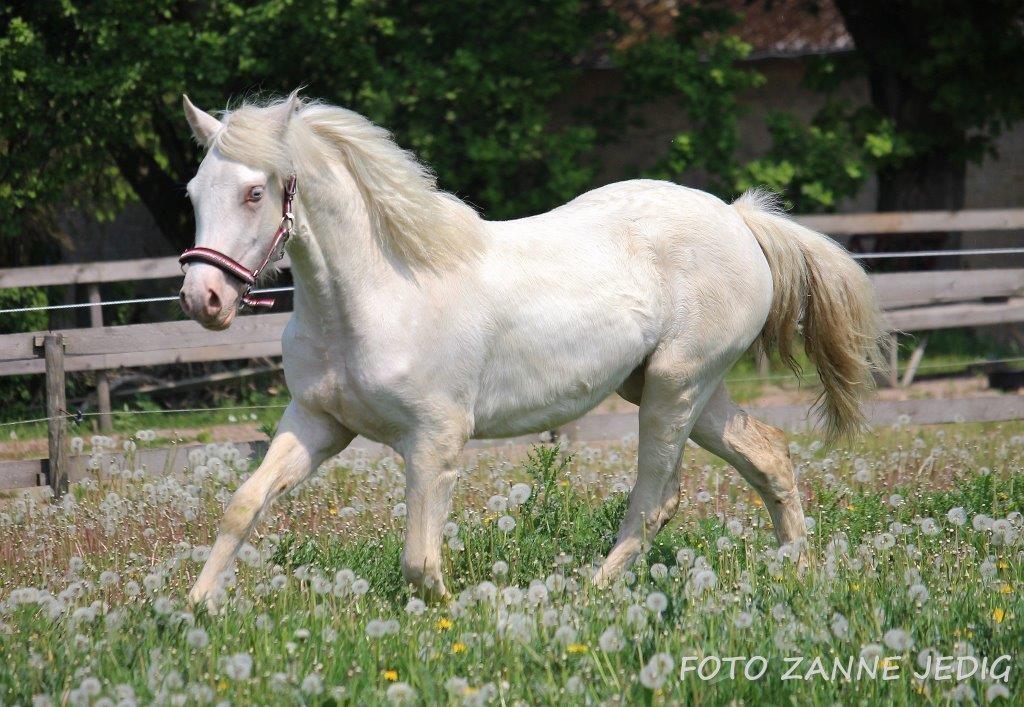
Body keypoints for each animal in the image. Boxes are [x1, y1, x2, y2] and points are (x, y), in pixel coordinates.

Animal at [180, 90, 884, 602]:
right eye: (193, 192)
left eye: (255, 191)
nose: (202, 299)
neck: (381, 294)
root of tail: (738, 218)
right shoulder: (317, 424)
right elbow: (243, 505)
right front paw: (197, 608)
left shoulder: (434, 441)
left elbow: (418, 560)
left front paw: (455, 617)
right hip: (680, 390)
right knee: (767, 457)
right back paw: (798, 572)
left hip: (676, 388)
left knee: (655, 497)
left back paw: (591, 591)